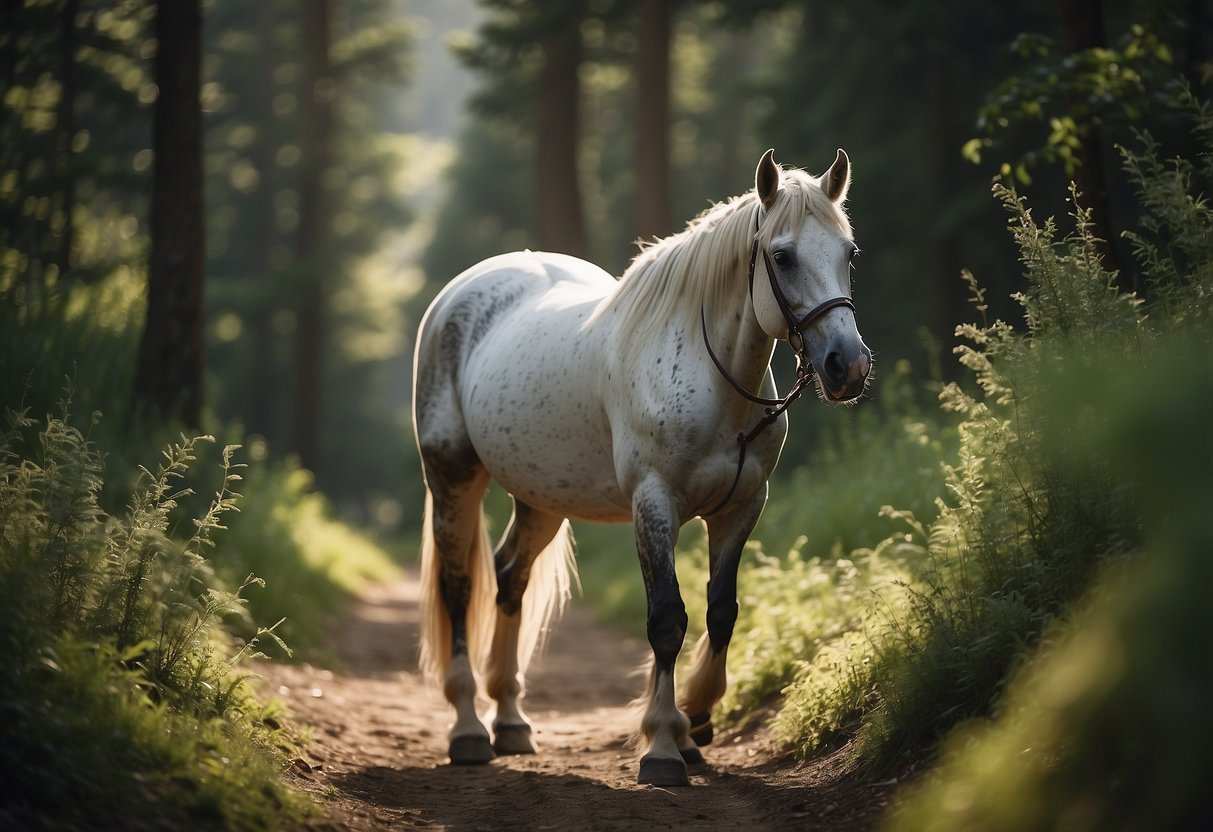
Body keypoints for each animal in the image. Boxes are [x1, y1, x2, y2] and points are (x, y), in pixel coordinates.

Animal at [414, 148, 873, 790]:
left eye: (848, 253)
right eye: (782, 256)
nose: (846, 366)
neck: (714, 381)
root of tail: (458, 296)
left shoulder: (740, 508)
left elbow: (722, 612)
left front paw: (695, 722)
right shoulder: (654, 505)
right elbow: (666, 620)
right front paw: (661, 746)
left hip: (541, 498)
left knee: (510, 577)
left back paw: (511, 721)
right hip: (453, 477)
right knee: (459, 586)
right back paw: (468, 730)